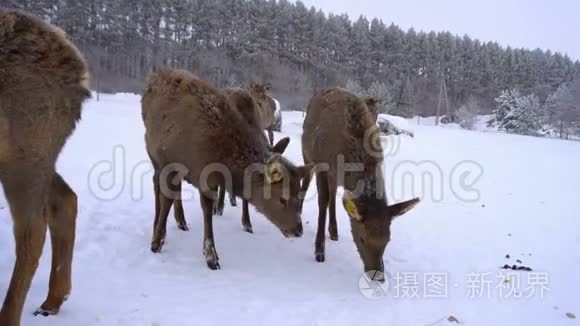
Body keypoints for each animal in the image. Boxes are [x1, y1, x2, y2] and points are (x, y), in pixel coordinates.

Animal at [142, 69, 312, 270]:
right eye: (282, 198)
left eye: (300, 196)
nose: (298, 230)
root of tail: (154, 76)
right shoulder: (170, 161)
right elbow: (171, 198)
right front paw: (158, 242)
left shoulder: (207, 178)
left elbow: (207, 207)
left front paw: (212, 253)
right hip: (152, 151)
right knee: (156, 185)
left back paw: (181, 221)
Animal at [302, 88, 420, 282]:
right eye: (362, 238)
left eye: (387, 240)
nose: (378, 275)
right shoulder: (322, 165)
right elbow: (322, 203)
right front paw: (319, 251)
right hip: (307, 155)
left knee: (333, 196)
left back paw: (334, 231)